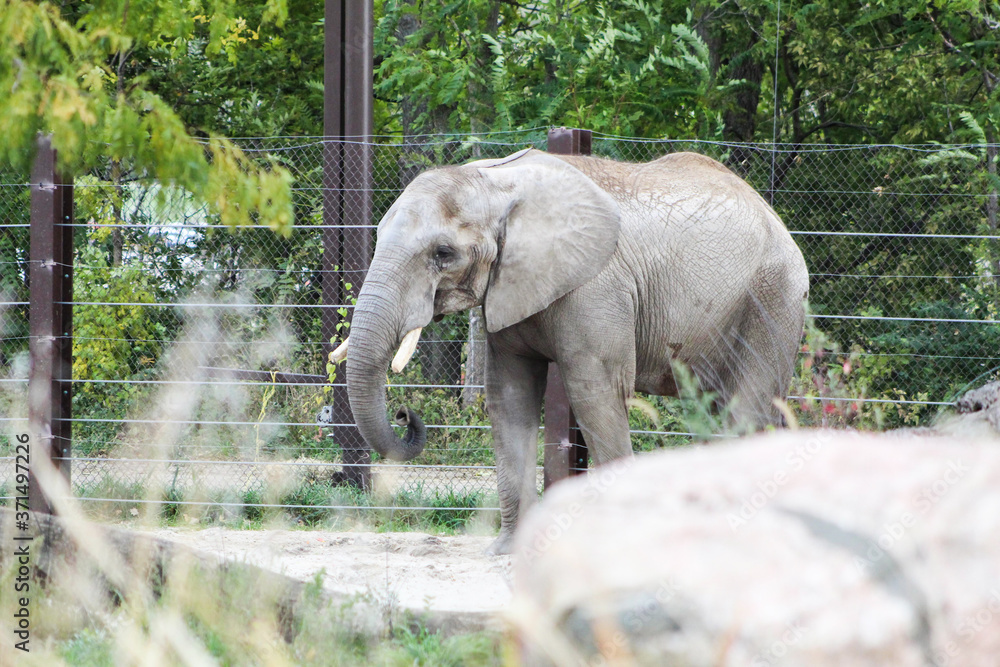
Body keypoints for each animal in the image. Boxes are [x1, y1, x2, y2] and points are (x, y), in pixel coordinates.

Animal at [341, 148, 810, 554]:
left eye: (443, 253)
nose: (405, 414)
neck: (496, 181)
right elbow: (509, 397)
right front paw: (508, 551)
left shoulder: (597, 288)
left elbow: (596, 395)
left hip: (773, 298)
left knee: (744, 409)